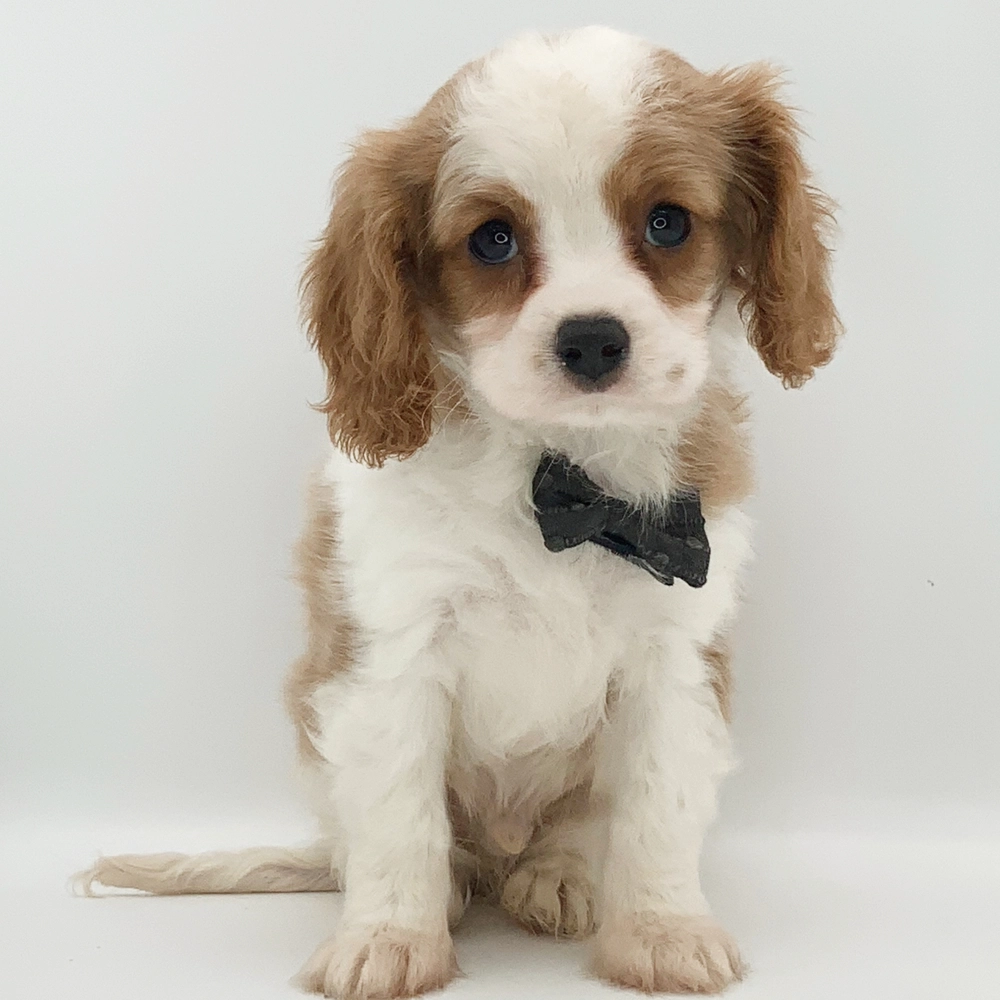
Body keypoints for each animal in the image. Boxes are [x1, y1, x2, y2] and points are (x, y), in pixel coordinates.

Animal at [78, 25, 840, 998]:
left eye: (668, 222)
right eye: (492, 240)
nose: (592, 339)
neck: (558, 475)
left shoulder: (677, 654)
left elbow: (657, 806)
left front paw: (662, 931)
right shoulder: (393, 650)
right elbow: (400, 816)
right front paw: (390, 939)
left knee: (574, 827)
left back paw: (556, 874)